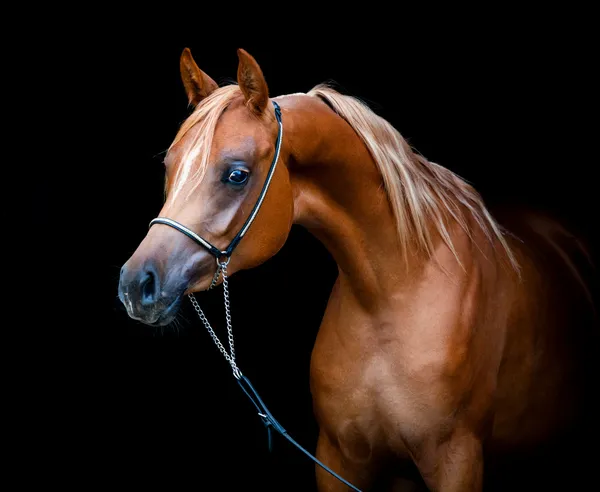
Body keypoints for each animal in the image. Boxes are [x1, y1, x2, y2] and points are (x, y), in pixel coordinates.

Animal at [117, 47, 596, 492]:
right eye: (169, 165)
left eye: (236, 174)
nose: (136, 284)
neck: (393, 296)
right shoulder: (339, 458)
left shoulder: (456, 460)